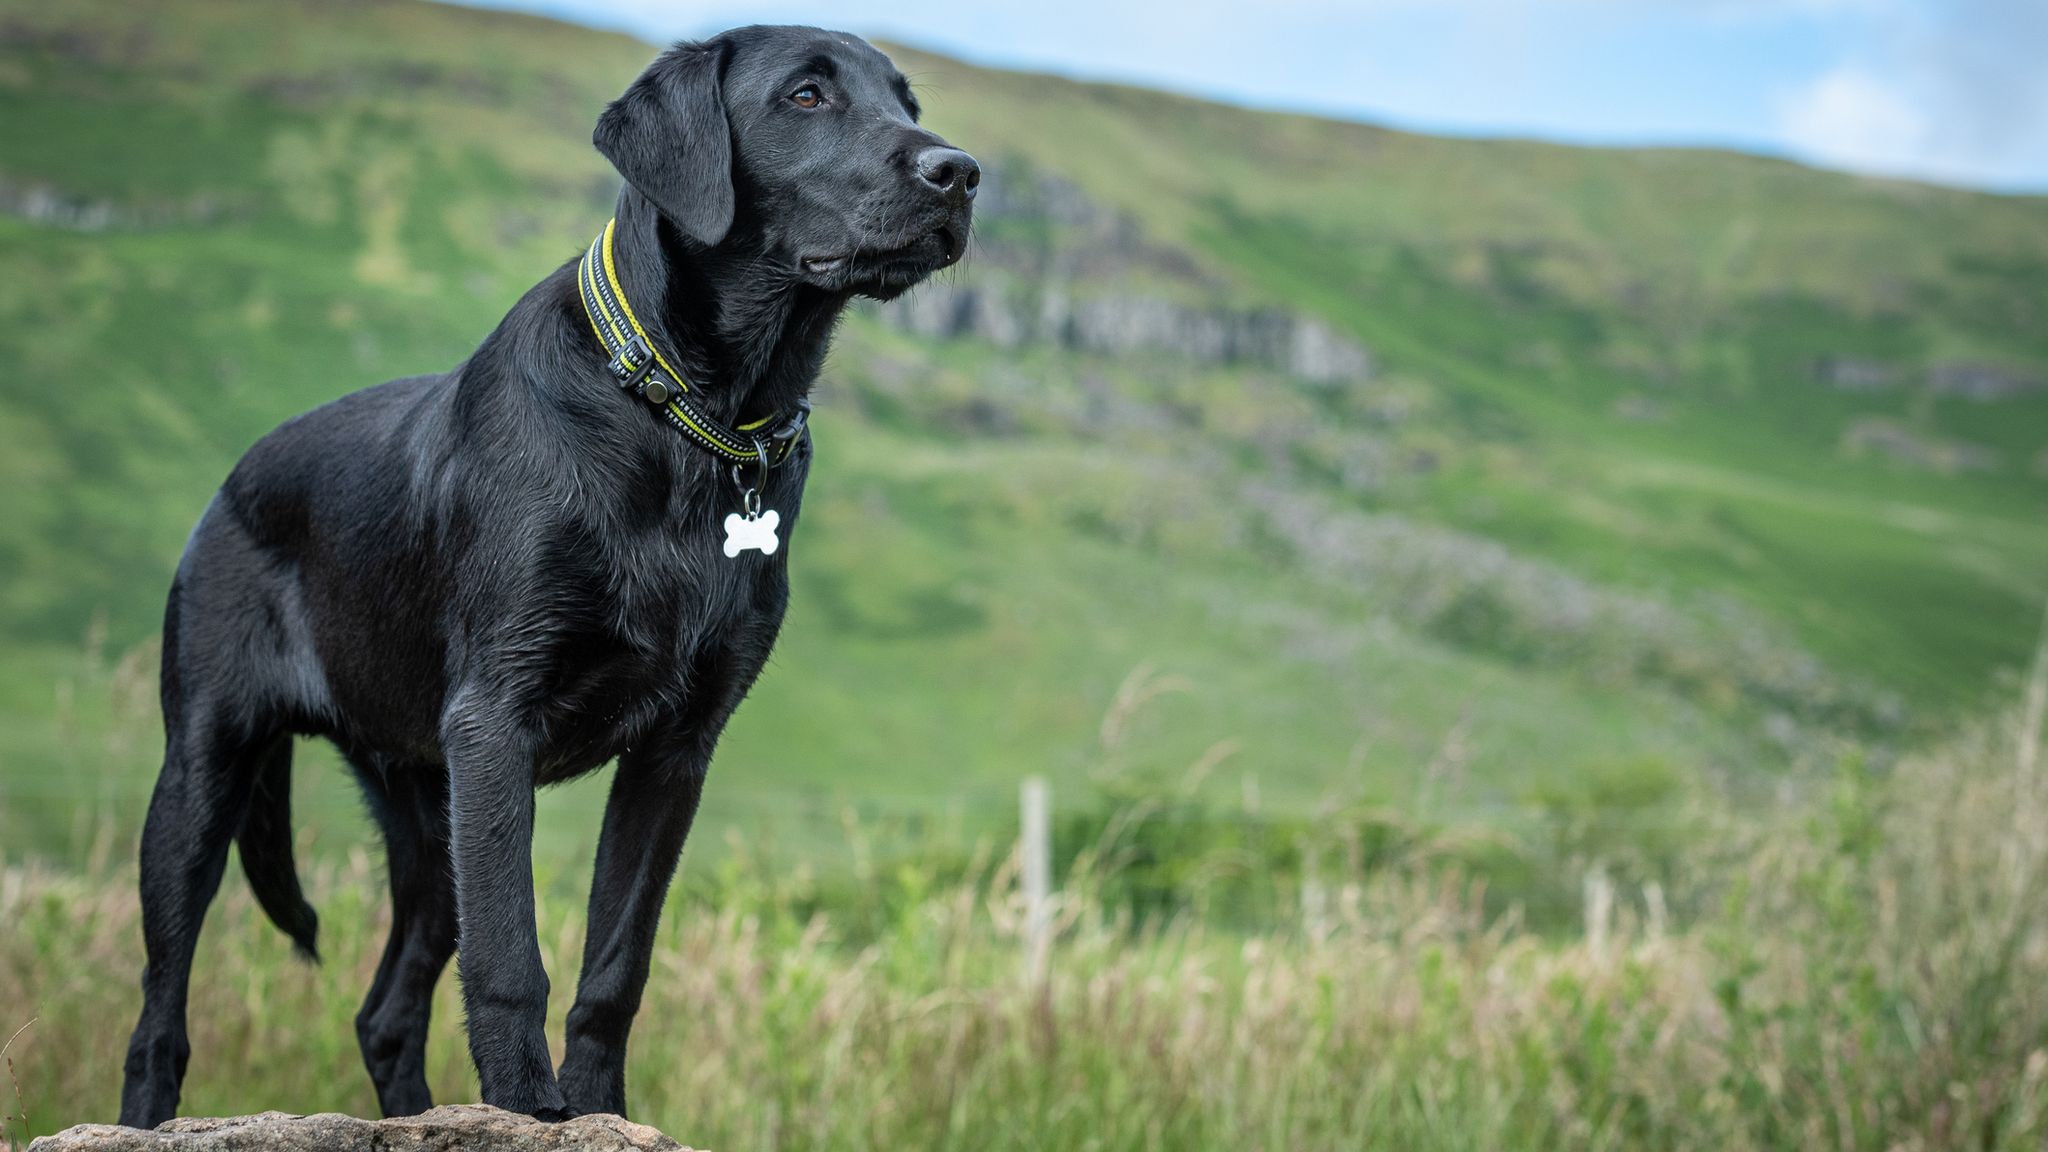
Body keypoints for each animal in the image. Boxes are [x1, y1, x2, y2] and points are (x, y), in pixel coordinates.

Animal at [116, 24, 978, 1123]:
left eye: (907, 103)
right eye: (806, 95)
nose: (959, 172)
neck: (687, 417)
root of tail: (232, 480)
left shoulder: (675, 753)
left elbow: (616, 964)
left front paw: (598, 1107)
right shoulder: (497, 722)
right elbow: (510, 957)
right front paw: (529, 1105)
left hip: (426, 816)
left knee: (385, 1012)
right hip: (203, 777)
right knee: (161, 1012)